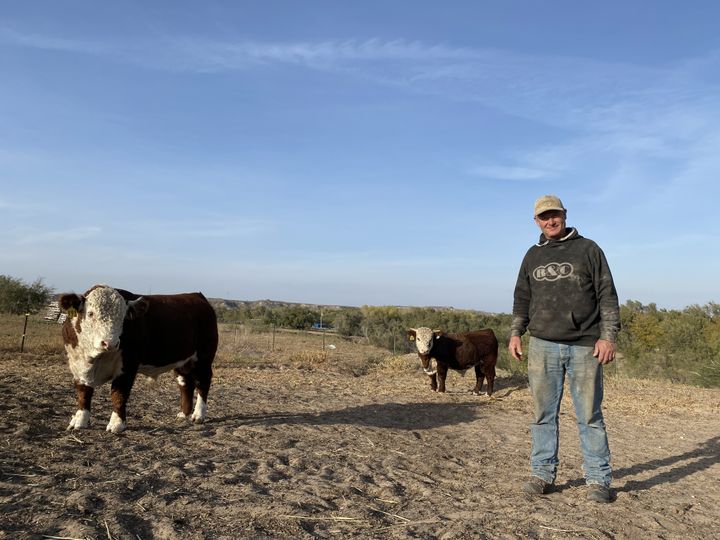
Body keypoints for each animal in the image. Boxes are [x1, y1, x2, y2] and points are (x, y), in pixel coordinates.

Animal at [59, 284, 218, 432]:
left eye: (123, 318)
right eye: (91, 313)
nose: (110, 343)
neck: (94, 358)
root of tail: (197, 296)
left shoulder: (127, 366)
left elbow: (118, 394)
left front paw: (117, 424)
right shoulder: (78, 365)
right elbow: (83, 393)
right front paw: (80, 420)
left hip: (204, 358)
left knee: (203, 383)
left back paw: (198, 415)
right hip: (182, 360)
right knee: (185, 383)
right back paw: (183, 414)